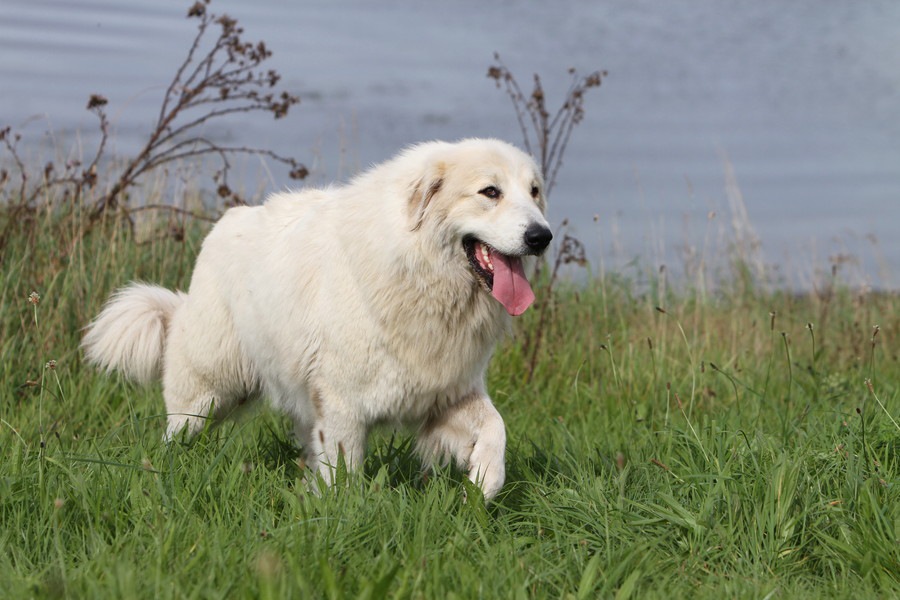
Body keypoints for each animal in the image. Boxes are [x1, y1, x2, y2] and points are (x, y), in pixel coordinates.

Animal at [84, 138, 552, 500]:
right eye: (490, 192)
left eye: (534, 192)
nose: (541, 237)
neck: (418, 269)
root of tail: (226, 222)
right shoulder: (343, 405)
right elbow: (344, 475)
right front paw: (344, 516)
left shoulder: (446, 392)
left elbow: (496, 427)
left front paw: (485, 481)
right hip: (209, 389)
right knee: (176, 432)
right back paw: (164, 472)